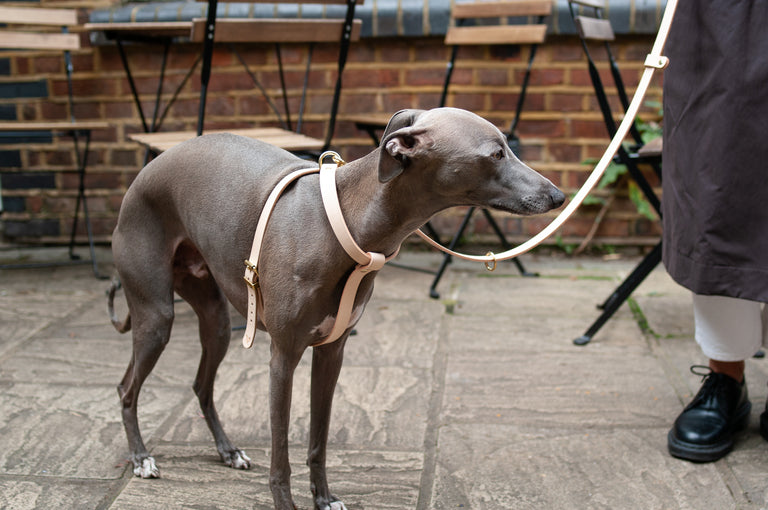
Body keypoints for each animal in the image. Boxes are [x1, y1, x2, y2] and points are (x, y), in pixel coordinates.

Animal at [106, 108, 564, 510]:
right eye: (496, 153)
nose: (558, 195)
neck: (346, 221)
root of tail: (144, 173)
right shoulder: (283, 356)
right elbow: (281, 454)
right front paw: (287, 503)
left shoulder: (332, 352)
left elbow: (318, 441)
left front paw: (324, 499)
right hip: (157, 314)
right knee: (127, 387)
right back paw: (141, 458)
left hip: (216, 321)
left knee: (202, 385)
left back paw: (228, 450)